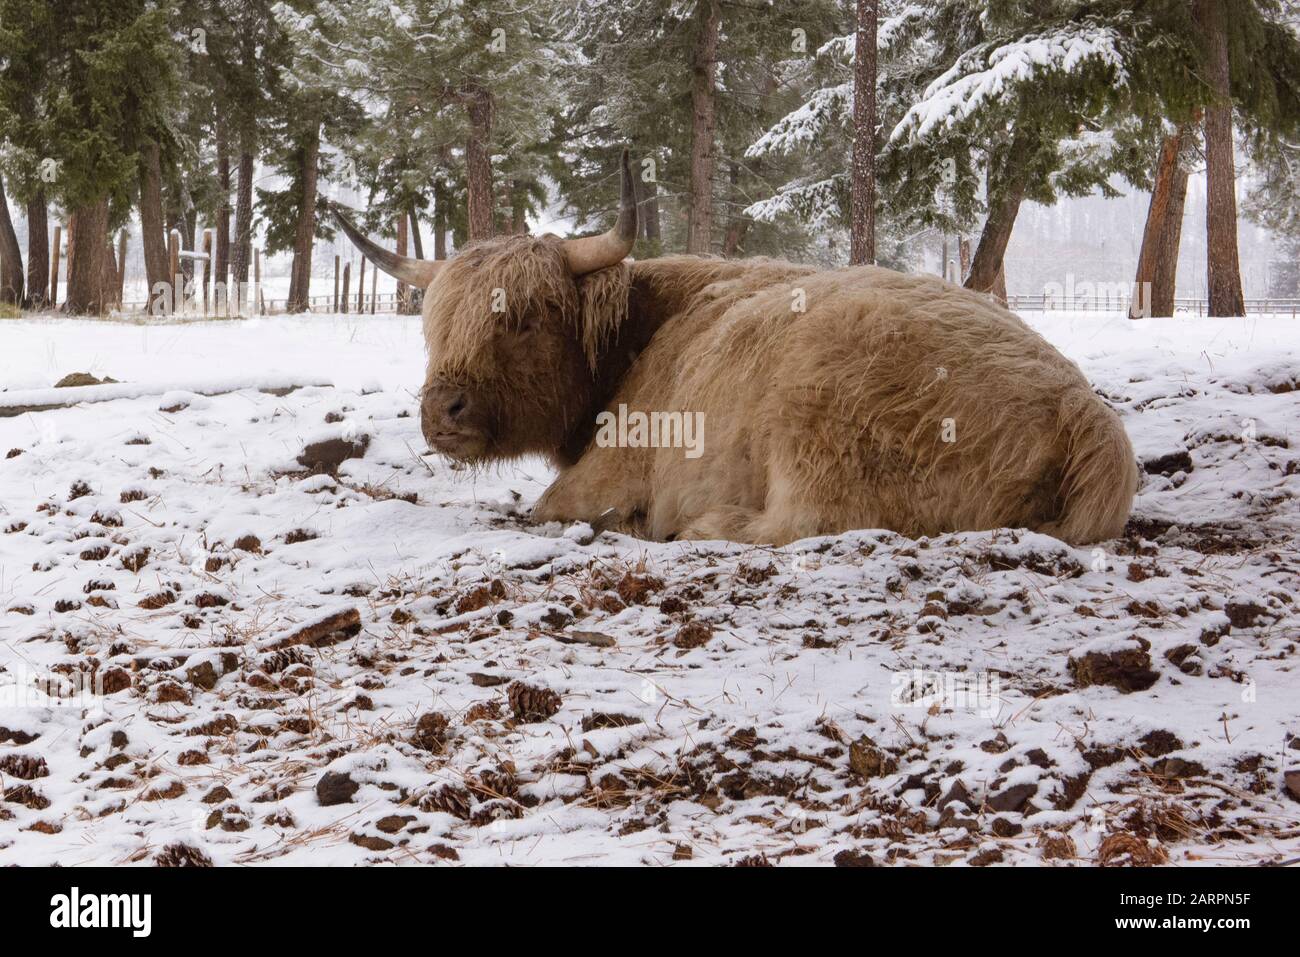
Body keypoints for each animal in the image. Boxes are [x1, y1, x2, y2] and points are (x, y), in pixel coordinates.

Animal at [335, 153, 1138, 548]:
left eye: (527, 318)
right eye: (434, 324)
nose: (442, 409)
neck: (640, 332)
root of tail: (1084, 413)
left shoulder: (613, 467)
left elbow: (547, 506)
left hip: (813, 424)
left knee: (808, 521)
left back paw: (699, 526)